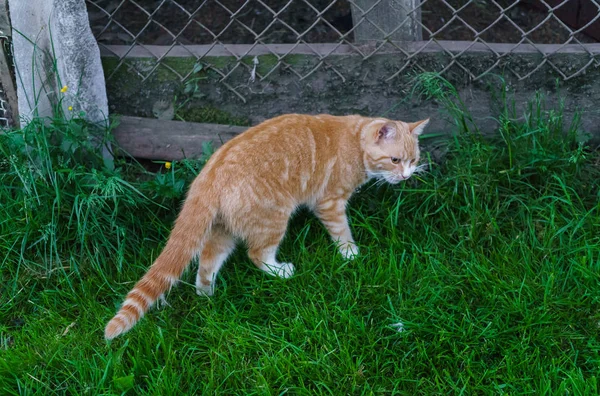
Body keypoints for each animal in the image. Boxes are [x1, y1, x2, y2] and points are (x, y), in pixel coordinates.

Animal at [105, 113, 428, 338]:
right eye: (395, 159)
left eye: (413, 160)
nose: (406, 176)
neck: (355, 140)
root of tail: (210, 174)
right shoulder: (330, 203)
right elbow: (341, 232)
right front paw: (351, 254)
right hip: (273, 220)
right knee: (257, 255)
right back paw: (281, 271)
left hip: (224, 230)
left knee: (207, 262)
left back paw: (207, 295)